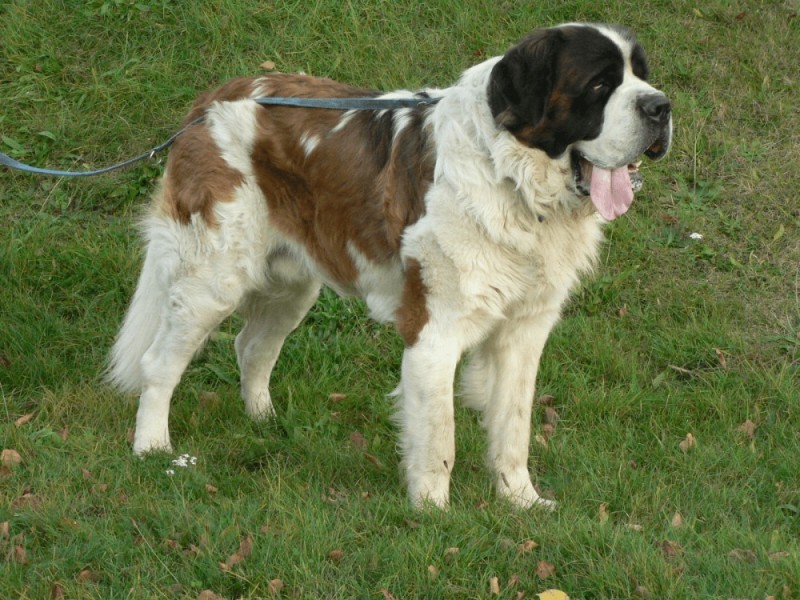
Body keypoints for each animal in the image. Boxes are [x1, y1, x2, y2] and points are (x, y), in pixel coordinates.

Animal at [109, 23, 672, 508]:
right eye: (599, 84)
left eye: (641, 75)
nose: (661, 106)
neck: (510, 175)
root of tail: (213, 99)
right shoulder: (433, 334)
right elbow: (440, 436)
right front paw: (433, 514)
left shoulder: (523, 333)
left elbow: (514, 427)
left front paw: (521, 502)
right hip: (213, 279)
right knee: (159, 364)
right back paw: (153, 448)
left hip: (293, 285)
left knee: (252, 347)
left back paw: (264, 422)